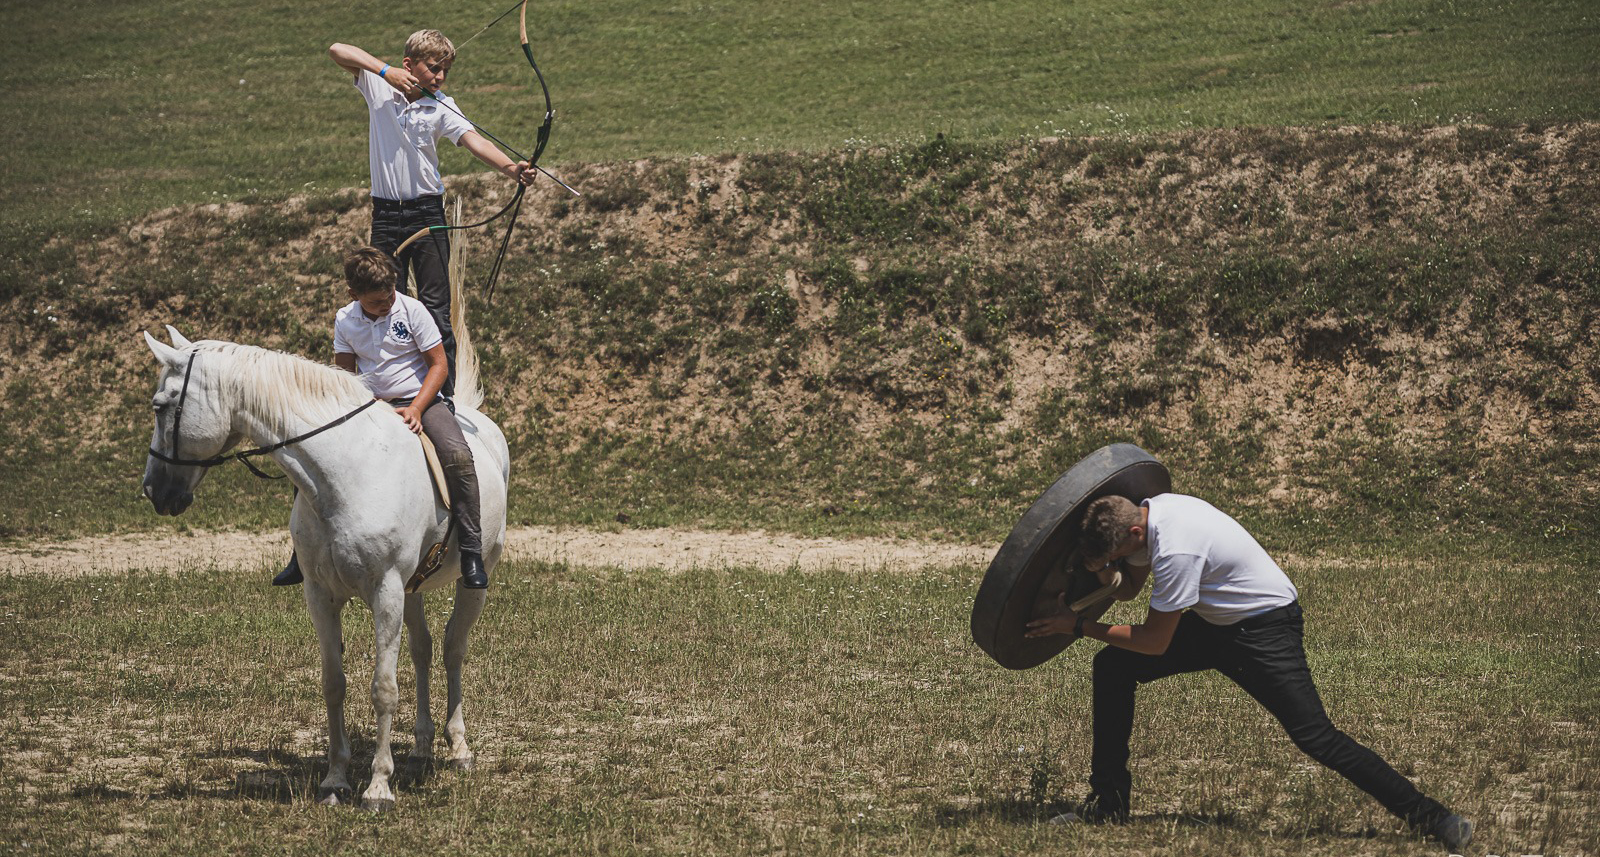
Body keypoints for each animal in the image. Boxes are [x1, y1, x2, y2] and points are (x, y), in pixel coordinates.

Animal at [143, 322, 508, 809]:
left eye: (161, 406)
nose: (153, 490)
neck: (346, 471)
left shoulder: (385, 592)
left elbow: (383, 688)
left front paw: (378, 786)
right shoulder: (320, 594)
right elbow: (334, 683)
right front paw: (335, 780)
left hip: (472, 582)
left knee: (453, 649)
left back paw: (459, 748)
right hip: (412, 590)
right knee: (424, 651)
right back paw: (420, 749)